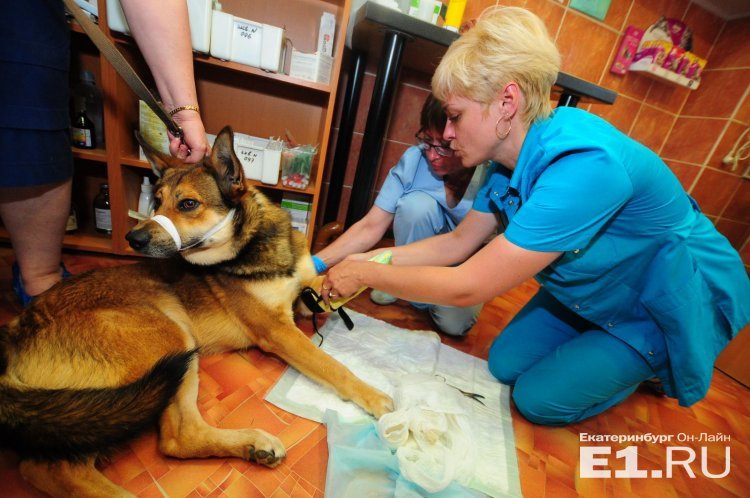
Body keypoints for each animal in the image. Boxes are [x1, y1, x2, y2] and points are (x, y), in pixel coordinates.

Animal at [0, 126, 396, 496]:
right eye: (156, 202)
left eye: (188, 204)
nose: (133, 239)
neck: (254, 246)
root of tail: (15, 334)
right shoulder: (277, 330)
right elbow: (333, 366)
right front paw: (377, 398)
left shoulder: (304, 293)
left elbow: (326, 284)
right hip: (164, 347)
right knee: (51, 468)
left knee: (178, 438)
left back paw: (253, 445)